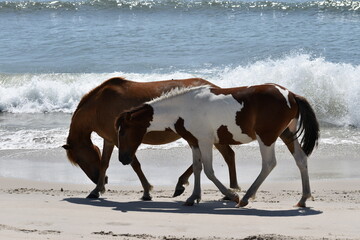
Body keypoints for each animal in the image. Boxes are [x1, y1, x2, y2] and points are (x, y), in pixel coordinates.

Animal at [63, 78, 240, 200]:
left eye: (79, 160)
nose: (100, 180)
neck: (98, 105)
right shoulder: (110, 139)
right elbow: (104, 163)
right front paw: (96, 190)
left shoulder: (121, 140)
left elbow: (134, 164)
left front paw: (147, 191)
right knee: (223, 155)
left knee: (227, 155)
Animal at [114, 84, 318, 206]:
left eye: (123, 132)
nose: (123, 159)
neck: (183, 109)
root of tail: (291, 95)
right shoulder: (194, 143)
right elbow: (197, 168)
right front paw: (193, 197)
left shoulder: (205, 142)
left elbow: (209, 171)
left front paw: (232, 194)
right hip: (287, 134)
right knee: (301, 160)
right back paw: (303, 199)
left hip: (266, 138)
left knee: (269, 164)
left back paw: (245, 198)